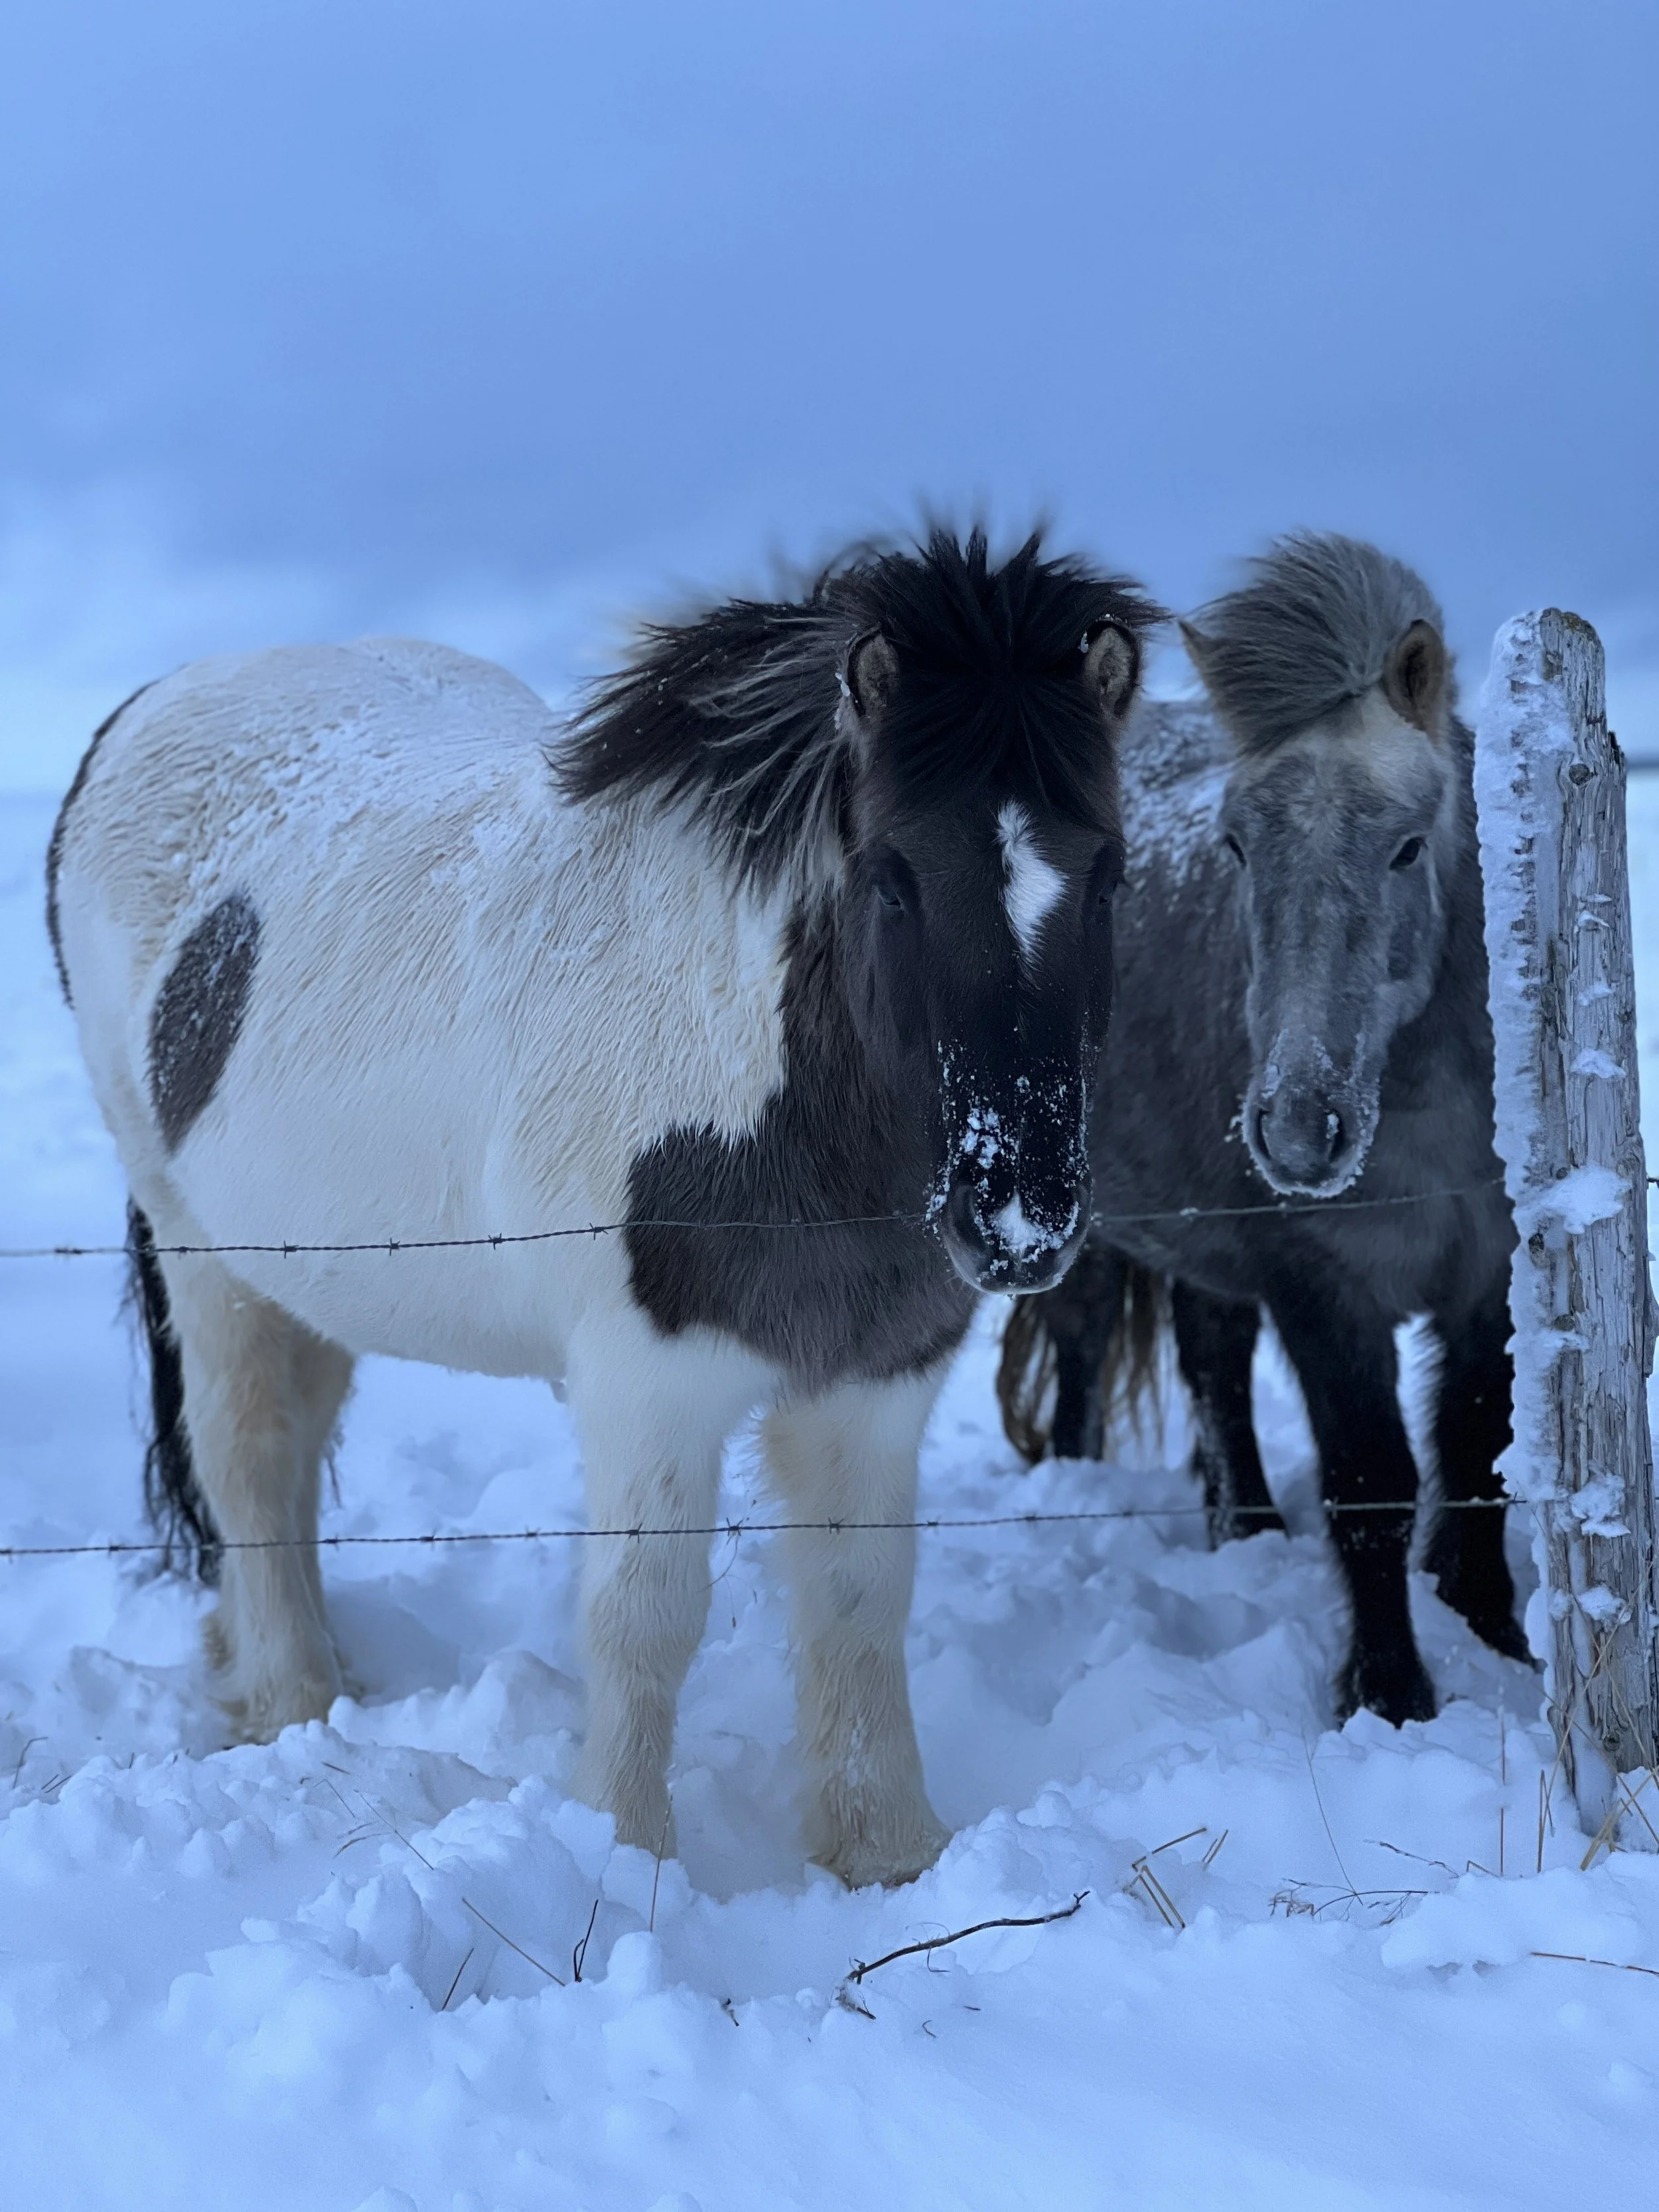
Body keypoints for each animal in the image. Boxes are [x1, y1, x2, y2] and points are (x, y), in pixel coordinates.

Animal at [48, 526, 1160, 1889]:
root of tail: (152, 703)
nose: (1018, 1217)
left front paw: (888, 1856)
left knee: (295, 1448)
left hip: (311, 1264)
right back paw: (294, 1703)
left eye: (1109, 873)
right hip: (207, 1251)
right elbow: (644, 1618)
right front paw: (622, 1856)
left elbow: (860, 1600)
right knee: (249, 1456)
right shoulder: (647, 1386)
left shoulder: (873, 1378)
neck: (755, 1088)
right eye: (893, 879)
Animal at [998, 533, 1527, 1729]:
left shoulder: (1488, 1275)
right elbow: (1372, 1485)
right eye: (1236, 846)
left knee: (1211, 1360)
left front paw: (1495, 1636)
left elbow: (1475, 1452)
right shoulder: (1324, 1291)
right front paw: (1391, 1694)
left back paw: (1240, 1526)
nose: (1295, 1131)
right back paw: (1085, 1488)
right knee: (1091, 1345)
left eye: (1408, 848)